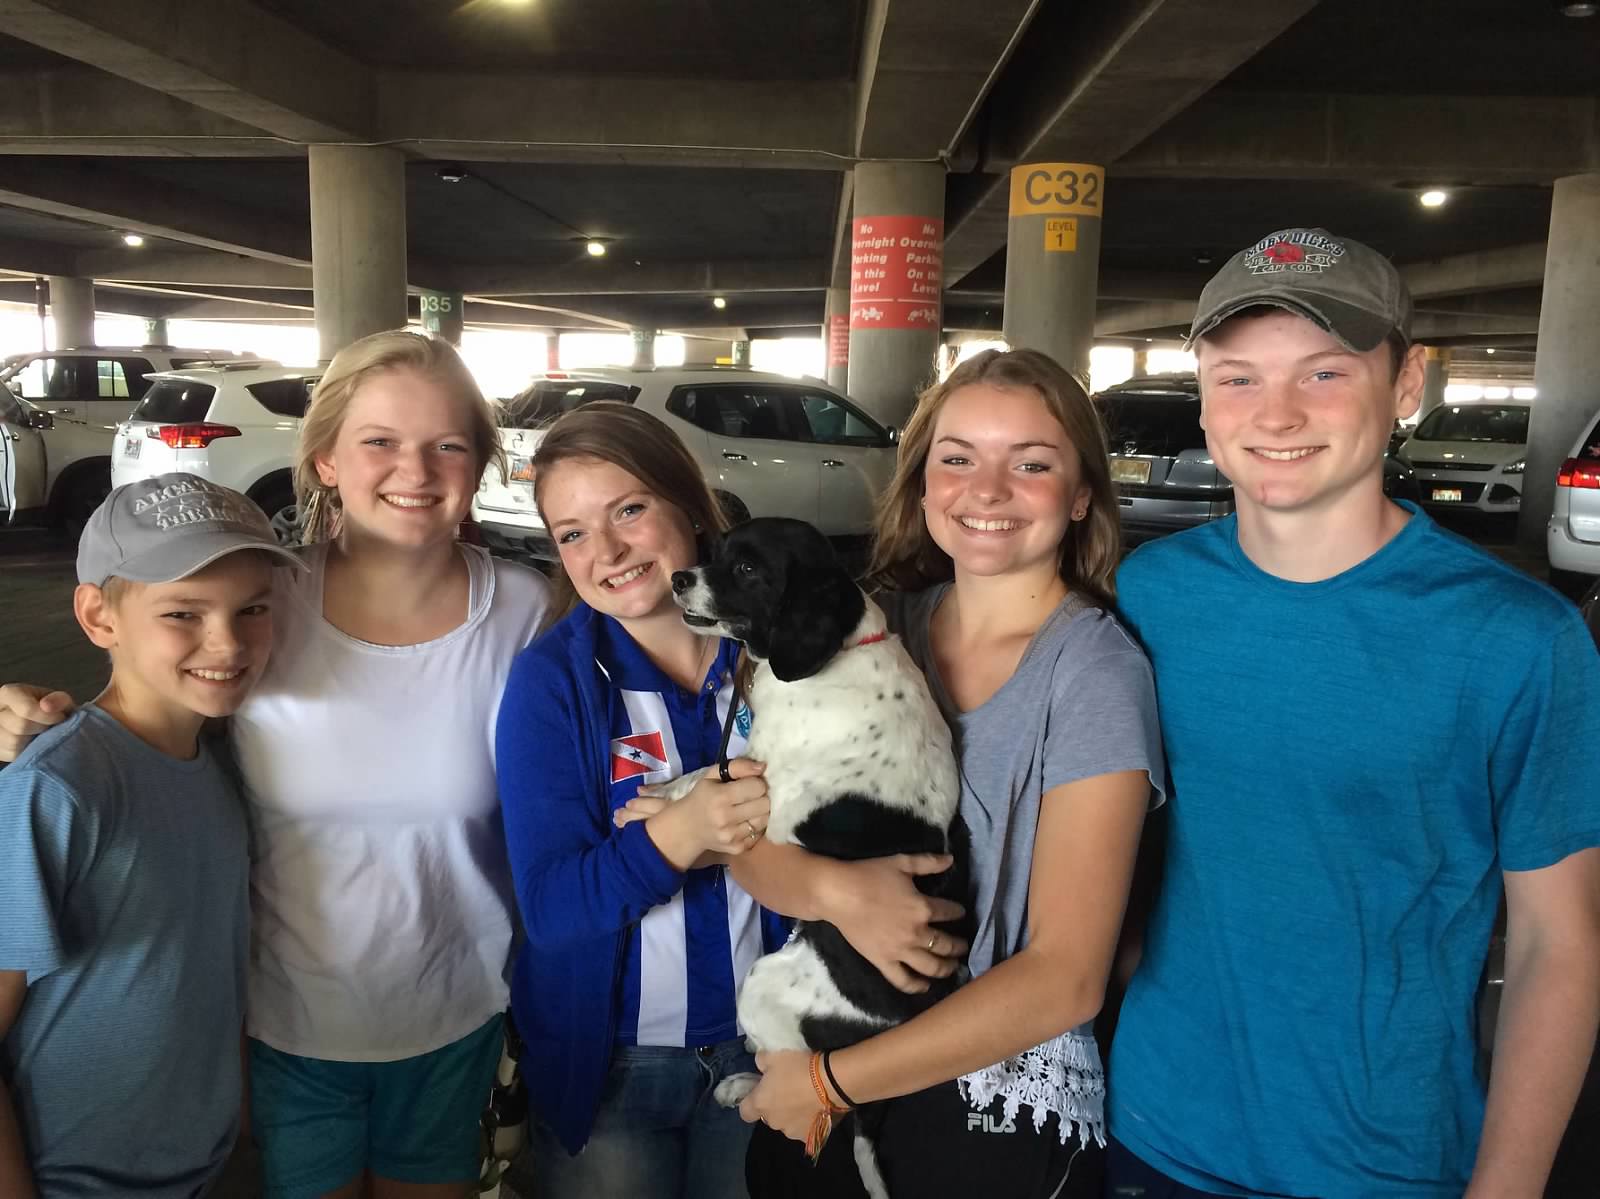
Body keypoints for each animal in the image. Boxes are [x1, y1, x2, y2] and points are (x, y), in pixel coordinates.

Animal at [659, 515, 966, 1197]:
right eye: (717, 551)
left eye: (748, 568)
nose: (678, 577)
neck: (838, 653)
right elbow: (700, 772)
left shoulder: (764, 796)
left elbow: (705, 779)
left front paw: (659, 806)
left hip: (765, 985)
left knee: (798, 1074)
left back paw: (748, 1086)